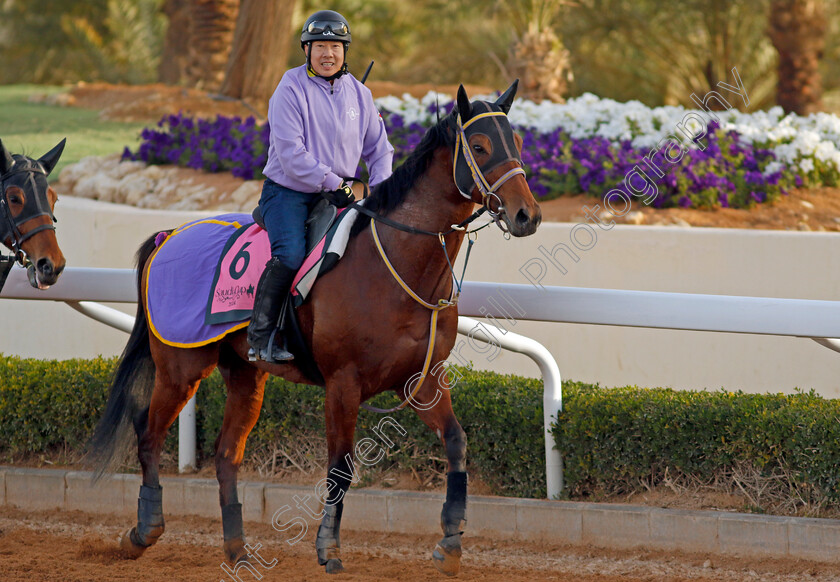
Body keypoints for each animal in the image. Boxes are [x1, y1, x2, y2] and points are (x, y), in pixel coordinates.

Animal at [88, 82, 540, 580]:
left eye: (517, 142)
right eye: (479, 147)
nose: (527, 215)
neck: (394, 266)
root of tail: (167, 235)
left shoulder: (422, 381)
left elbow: (457, 441)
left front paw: (451, 541)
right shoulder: (343, 384)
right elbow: (340, 468)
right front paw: (329, 548)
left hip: (245, 375)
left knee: (226, 455)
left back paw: (236, 548)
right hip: (180, 369)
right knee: (148, 435)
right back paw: (143, 531)